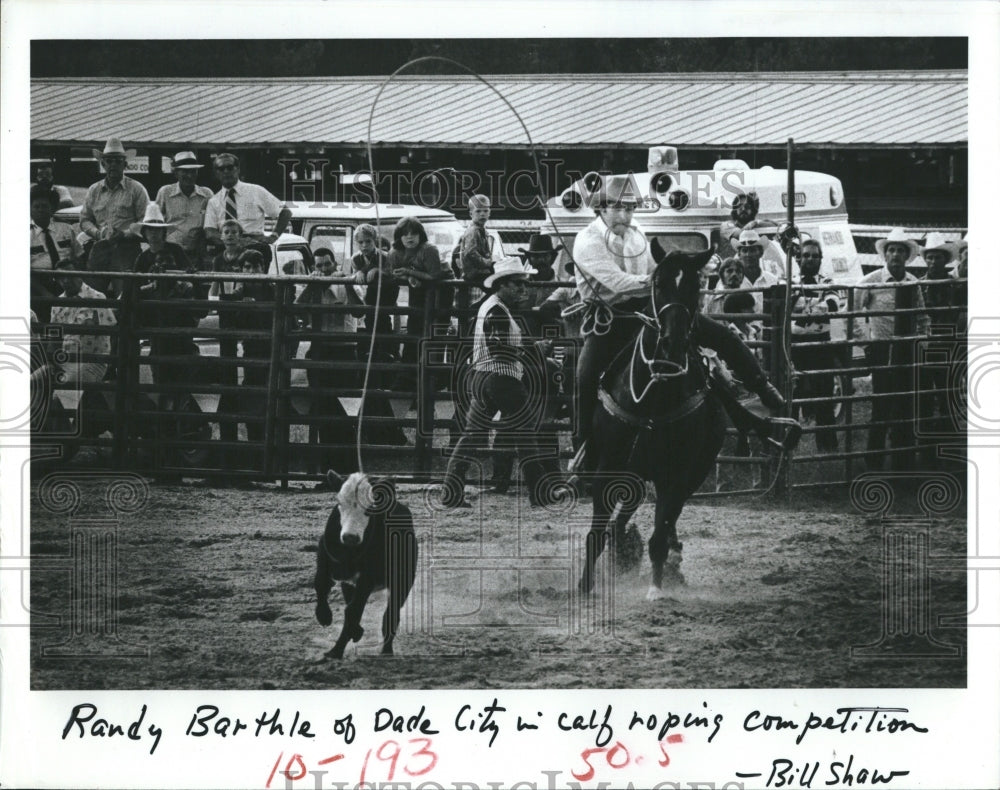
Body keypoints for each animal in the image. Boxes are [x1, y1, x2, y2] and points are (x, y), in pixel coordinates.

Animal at [316, 474, 418, 660]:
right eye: (340, 502)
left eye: (371, 508)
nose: (350, 537)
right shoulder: (325, 555)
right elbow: (320, 583)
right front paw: (324, 616)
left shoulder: (368, 578)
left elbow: (353, 610)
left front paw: (337, 649)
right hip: (349, 584)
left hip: (402, 582)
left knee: (390, 617)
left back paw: (386, 651)